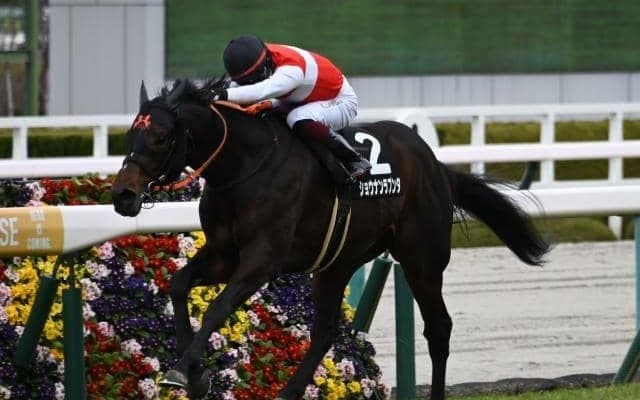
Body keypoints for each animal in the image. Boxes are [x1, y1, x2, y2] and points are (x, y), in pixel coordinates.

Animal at [110, 78, 550, 400]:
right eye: (130, 134)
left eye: (161, 136)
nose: (123, 195)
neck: (246, 166)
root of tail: (435, 165)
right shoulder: (223, 254)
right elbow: (179, 284)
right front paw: (195, 373)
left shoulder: (262, 261)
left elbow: (217, 308)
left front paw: (182, 371)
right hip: (337, 263)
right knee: (324, 333)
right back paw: (287, 393)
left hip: (422, 257)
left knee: (438, 328)